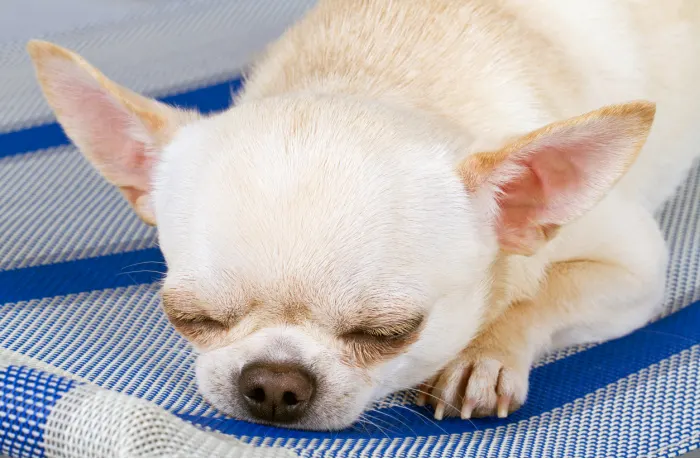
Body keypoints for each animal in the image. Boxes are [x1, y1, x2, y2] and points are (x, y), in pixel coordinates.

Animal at [26, 0, 700, 432]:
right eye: (189, 318)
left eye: (390, 333)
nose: (273, 382)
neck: (376, 74)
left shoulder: (637, 270)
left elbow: (541, 295)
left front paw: (482, 358)